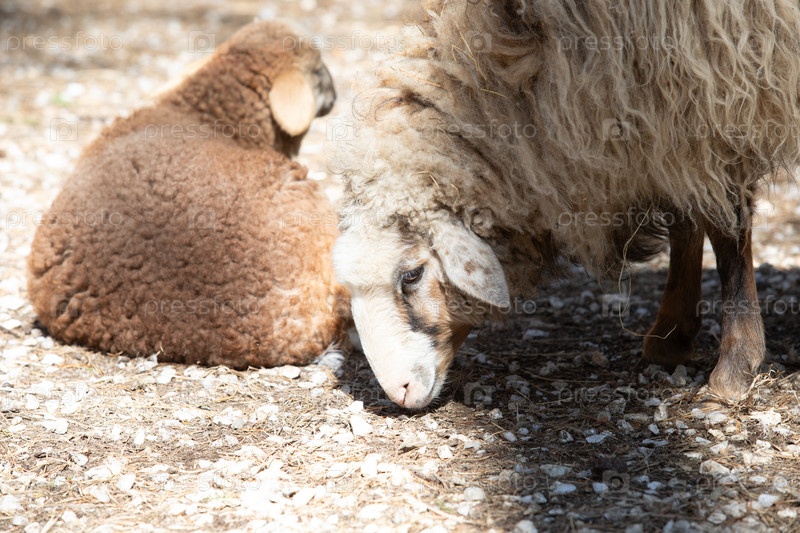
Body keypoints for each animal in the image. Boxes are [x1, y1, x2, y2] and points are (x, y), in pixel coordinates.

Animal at [332, 0, 800, 408]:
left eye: (411, 275)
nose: (398, 393)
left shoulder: (716, 91)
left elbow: (726, 228)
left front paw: (735, 367)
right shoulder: (670, 115)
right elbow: (685, 217)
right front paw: (671, 335)